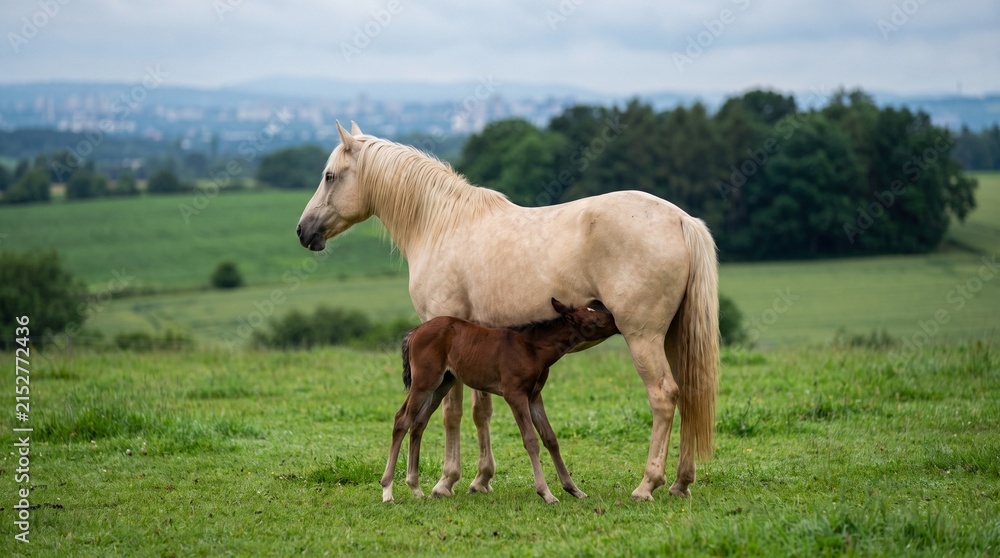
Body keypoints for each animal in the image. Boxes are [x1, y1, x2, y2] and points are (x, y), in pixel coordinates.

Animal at [381, 298, 620, 504]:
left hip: (443, 383)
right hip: (424, 381)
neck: (531, 349)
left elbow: (550, 438)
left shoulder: (534, 396)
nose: (617, 322)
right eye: (595, 320)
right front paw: (546, 493)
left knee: (418, 422)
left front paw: (574, 489)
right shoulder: (514, 394)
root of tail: (415, 331)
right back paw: (387, 491)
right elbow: (531, 440)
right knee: (402, 419)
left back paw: (415, 488)